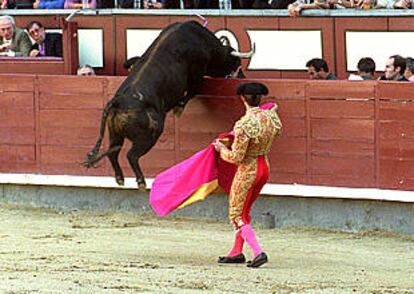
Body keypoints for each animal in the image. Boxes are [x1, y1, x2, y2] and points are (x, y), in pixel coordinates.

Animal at [83, 21, 252, 191]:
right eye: (236, 63)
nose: (242, 78)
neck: (202, 40)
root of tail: (119, 101)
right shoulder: (197, 72)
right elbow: (193, 91)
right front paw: (178, 108)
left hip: (115, 133)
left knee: (113, 152)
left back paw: (120, 179)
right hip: (150, 135)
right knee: (131, 155)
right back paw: (141, 182)